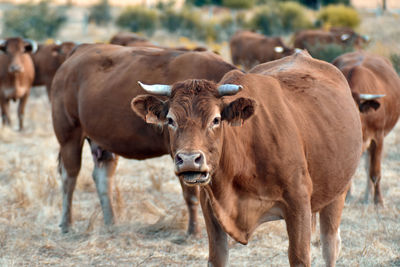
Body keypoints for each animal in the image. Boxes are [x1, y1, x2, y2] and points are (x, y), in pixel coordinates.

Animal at [50, 44, 238, 237]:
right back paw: (67, 224)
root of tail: (80, 51)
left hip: (102, 142)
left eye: (215, 119)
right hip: (69, 136)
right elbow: (191, 193)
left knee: (103, 178)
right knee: (69, 177)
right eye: (171, 120)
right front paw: (193, 232)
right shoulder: (180, 156)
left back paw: (111, 223)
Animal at [133, 51, 368, 266]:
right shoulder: (211, 208)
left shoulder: (298, 203)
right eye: (170, 120)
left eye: (216, 119)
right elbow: (217, 258)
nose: (190, 160)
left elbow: (300, 257)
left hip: (338, 191)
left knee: (331, 245)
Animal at [332, 51, 400, 206]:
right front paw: (347, 196)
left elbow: (375, 172)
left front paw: (378, 201)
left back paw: (367, 196)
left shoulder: (378, 138)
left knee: (369, 167)